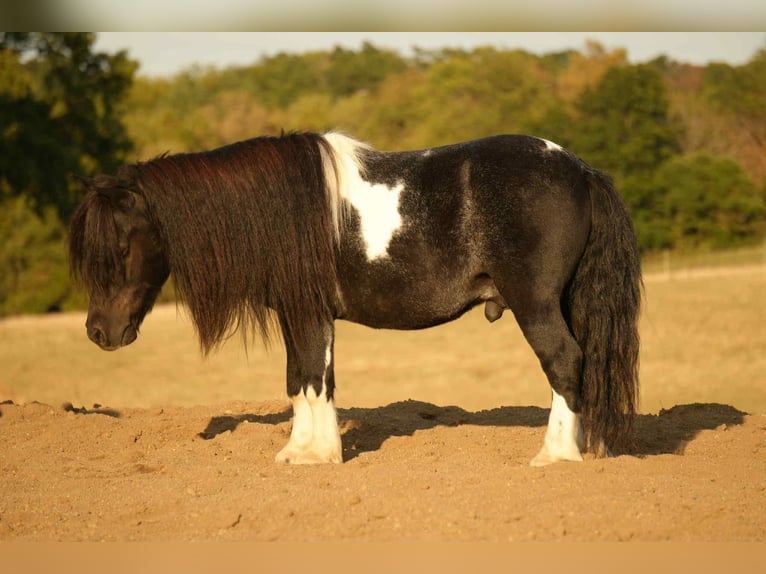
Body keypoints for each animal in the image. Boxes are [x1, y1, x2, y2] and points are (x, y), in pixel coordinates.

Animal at [69, 131, 641, 466]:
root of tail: (580, 170)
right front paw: (297, 452)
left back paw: (554, 456)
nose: (99, 332)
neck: (277, 209)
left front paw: (321, 455)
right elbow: (298, 379)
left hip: (536, 303)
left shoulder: (309, 313)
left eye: (118, 247)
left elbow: (315, 380)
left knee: (564, 362)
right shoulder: (300, 312)